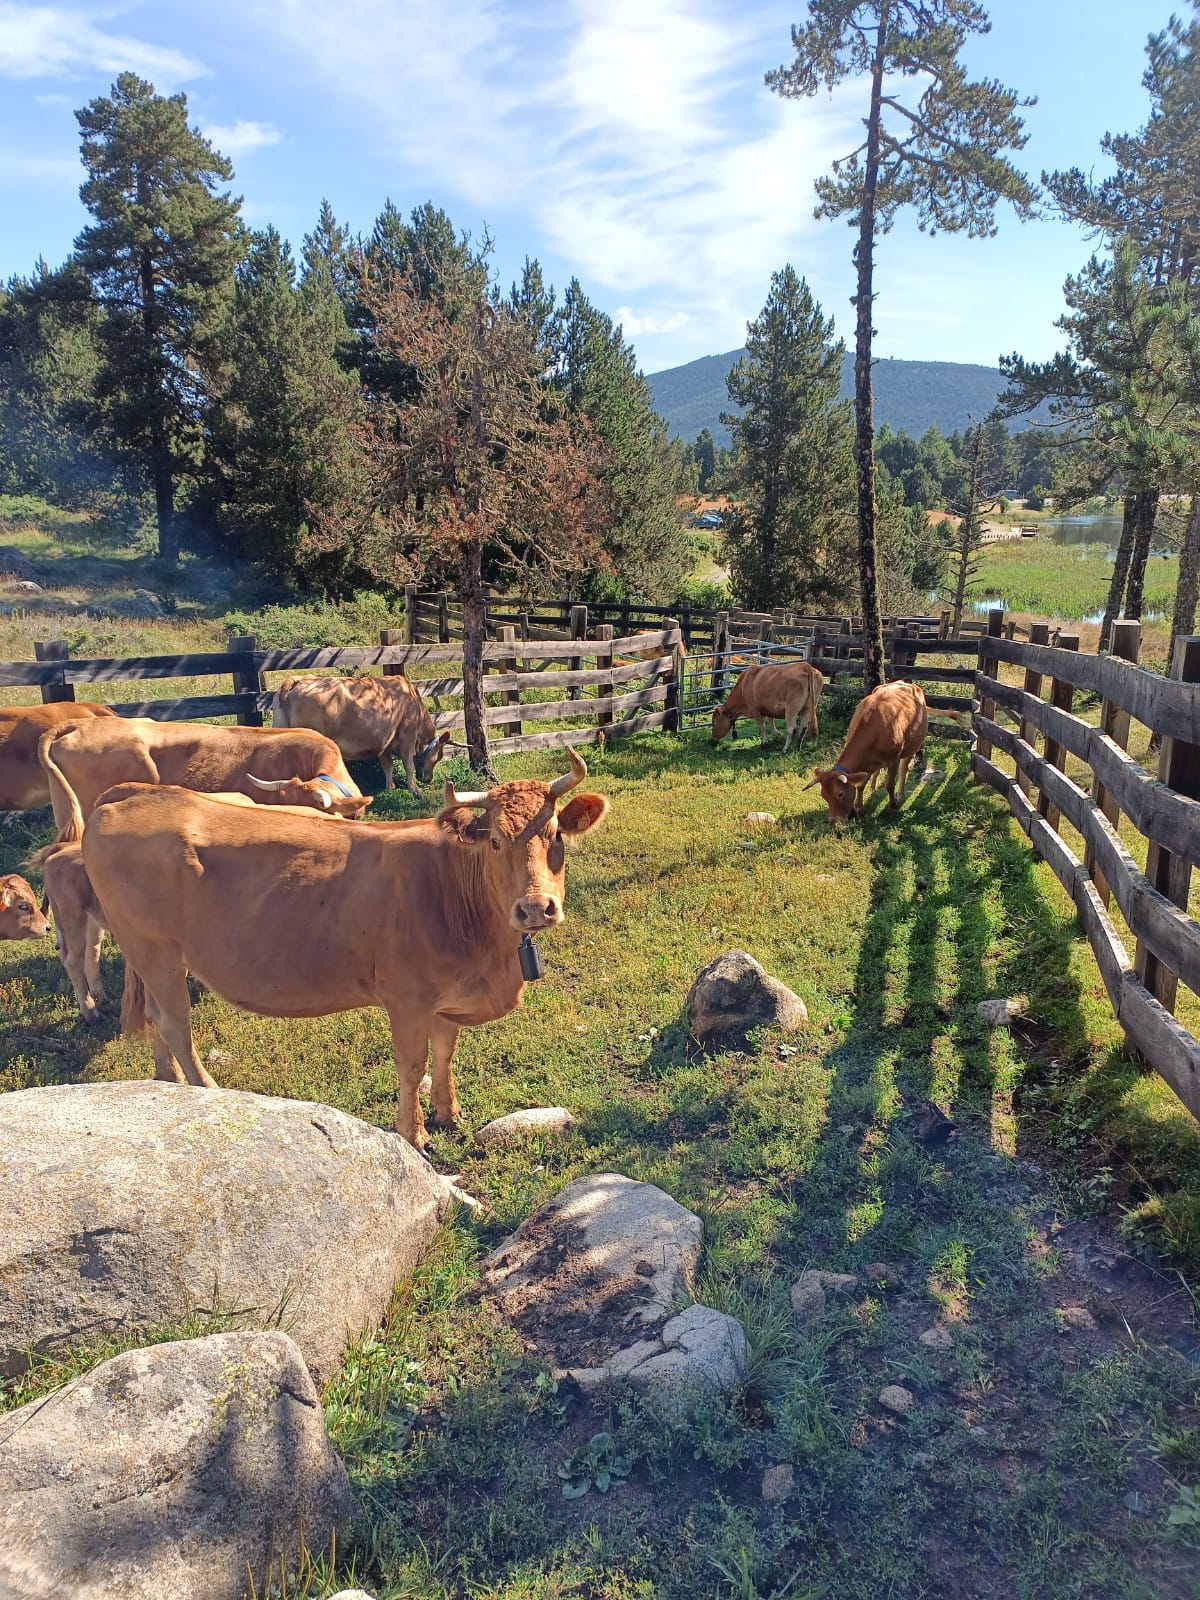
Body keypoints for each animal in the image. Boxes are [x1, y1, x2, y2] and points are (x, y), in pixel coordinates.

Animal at [81, 747, 609, 1146]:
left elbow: (445, 1052)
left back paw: (170, 1086)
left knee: (154, 1018)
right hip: (156, 951)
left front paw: (448, 1111)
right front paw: (414, 1134)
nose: (535, 908)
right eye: (496, 841)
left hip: (151, 957)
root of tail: (135, 792)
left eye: (556, 835)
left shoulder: (448, 999)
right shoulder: (407, 999)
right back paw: (207, 1091)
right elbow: (412, 1065)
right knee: (175, 1024)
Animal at [273, 673, 450, 795]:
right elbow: (409, 765)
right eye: (440, 756)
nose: (428, 779)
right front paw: (415, 790)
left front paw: (390, 787)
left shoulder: (384, 740)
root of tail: (300, 679)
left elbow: (387, 766)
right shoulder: (408, 735)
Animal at [808, 680, 928, 821]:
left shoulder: (893, 760)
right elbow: (860, 784)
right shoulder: (865, 762)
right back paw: (873, 788)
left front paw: (892, 807)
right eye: (823, 795)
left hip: (911, 747)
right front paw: (859, 807)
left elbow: (889, 785)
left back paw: (900, 795)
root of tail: (904, 682)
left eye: (840, 794)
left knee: (903, 768)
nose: (834, 820)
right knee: (877, 770)